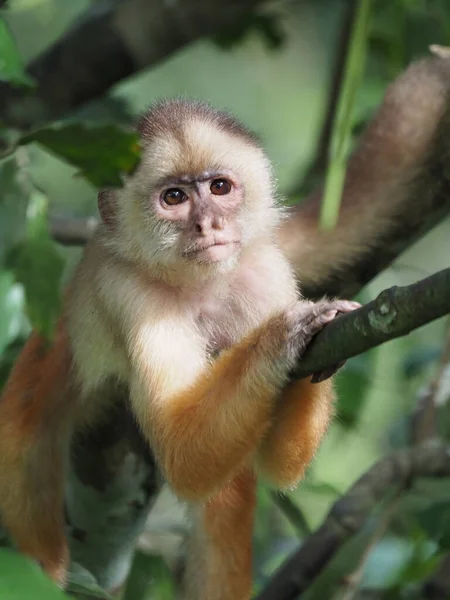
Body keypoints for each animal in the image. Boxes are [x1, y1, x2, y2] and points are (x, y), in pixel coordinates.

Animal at [1, 52, 448, 600]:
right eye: (174, 197)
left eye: (219, 188)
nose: (209, 225)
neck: (201, 286)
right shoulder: (126, 290)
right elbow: (183, 451)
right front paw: (287, 335)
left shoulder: (269, 276)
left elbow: (278, 464)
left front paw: (315, 339)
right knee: (25, 437)